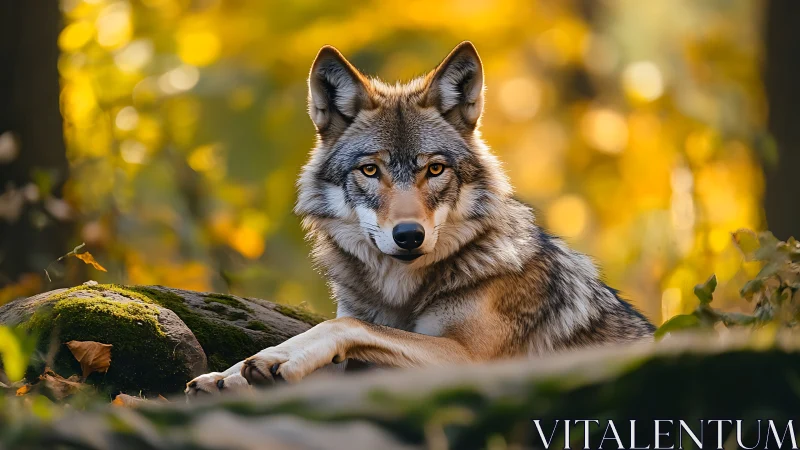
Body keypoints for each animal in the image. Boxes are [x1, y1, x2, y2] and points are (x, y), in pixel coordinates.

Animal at [185, 41, 655, 395]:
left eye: (434, 169)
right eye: (370, 170)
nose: (409, 235)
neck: (400, 292)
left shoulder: (467, 358)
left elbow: (342, 325)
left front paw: (276, 359)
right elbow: (344, 327)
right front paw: (228, 374)